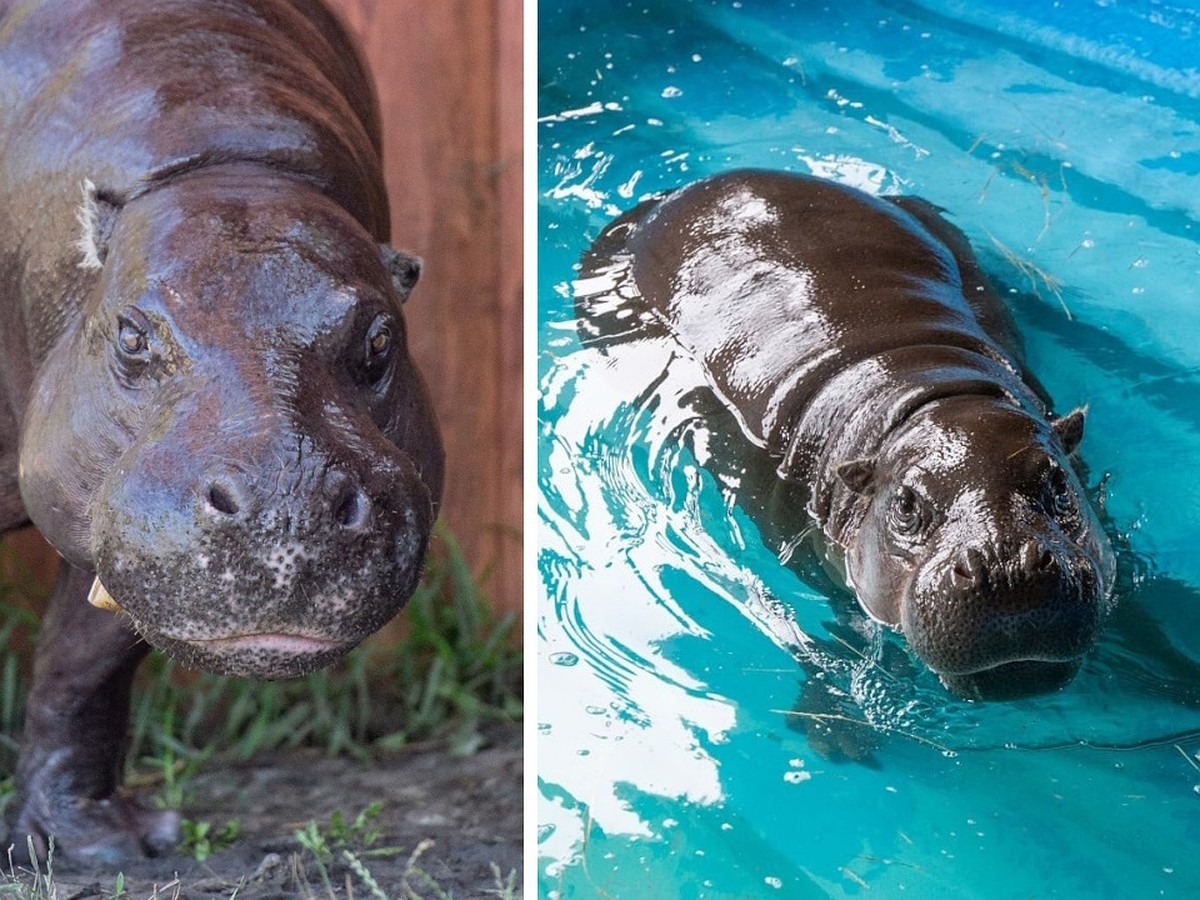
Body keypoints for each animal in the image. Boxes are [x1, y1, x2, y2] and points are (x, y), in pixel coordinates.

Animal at [0, 0, 446, 864]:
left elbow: (81, 662)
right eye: (131, 335)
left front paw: (100, 846)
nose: (287, 501)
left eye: (381, 340)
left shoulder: (109, 528)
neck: (230, 159)